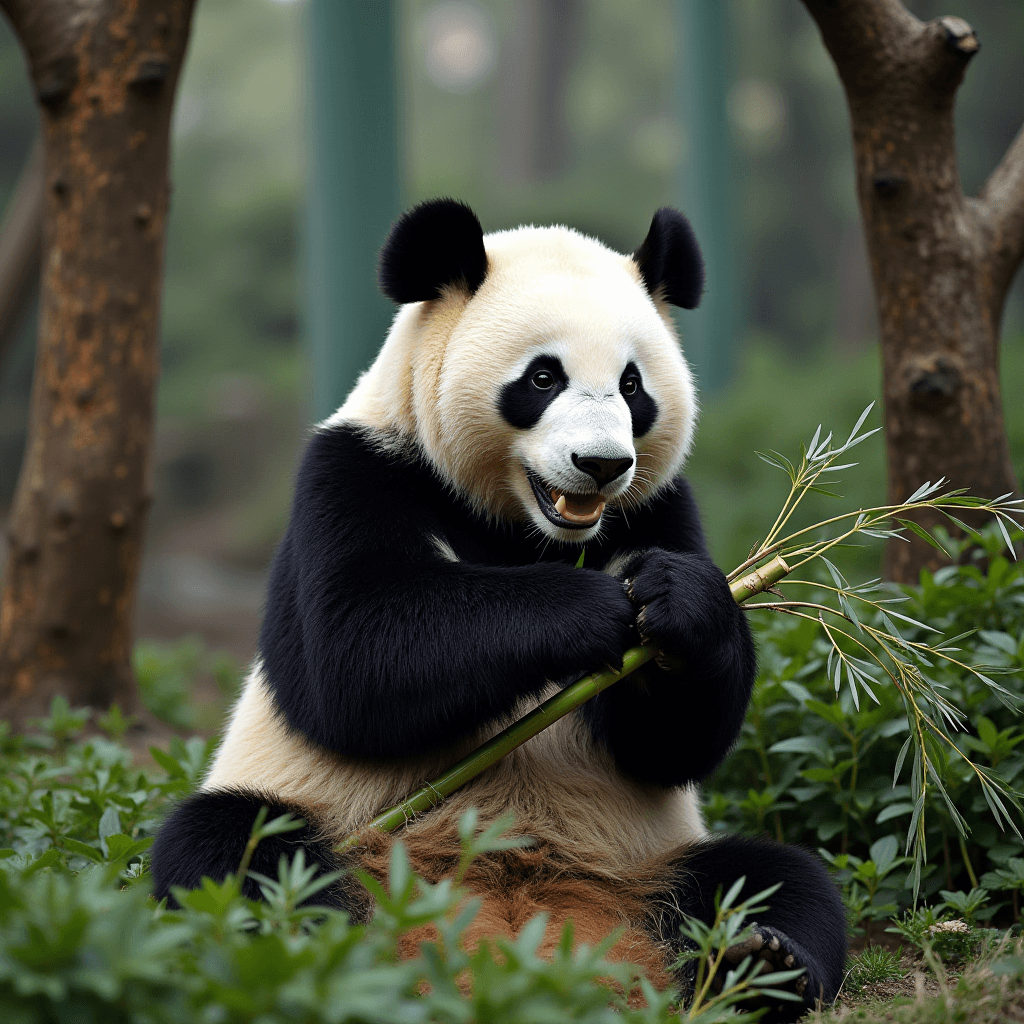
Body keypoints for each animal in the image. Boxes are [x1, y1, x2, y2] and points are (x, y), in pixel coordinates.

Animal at [149, 197, 839, 1015]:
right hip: (335, 824)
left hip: (648, 862)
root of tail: (512, 916)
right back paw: (318, 963)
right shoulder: (357, 471)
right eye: (543, 377)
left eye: (633, 386)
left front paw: (677, 600)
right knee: (236, 851)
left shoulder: (660, 507)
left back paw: (760, 963)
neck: (526, 529)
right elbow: (352, 657)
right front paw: (590, 609)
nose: (601, 465)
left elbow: (673, 744)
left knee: (774, 877)